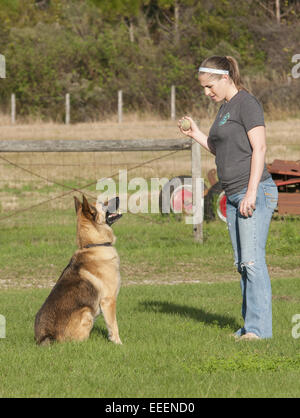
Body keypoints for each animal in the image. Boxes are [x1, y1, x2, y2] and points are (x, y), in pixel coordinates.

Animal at [33, 196, 121, 346]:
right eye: (102, 203)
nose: (118, 197)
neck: (93, 245)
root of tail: (47, 337)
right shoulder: (108, 301)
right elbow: (113, 326)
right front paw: (119, 344)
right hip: (86, 313)